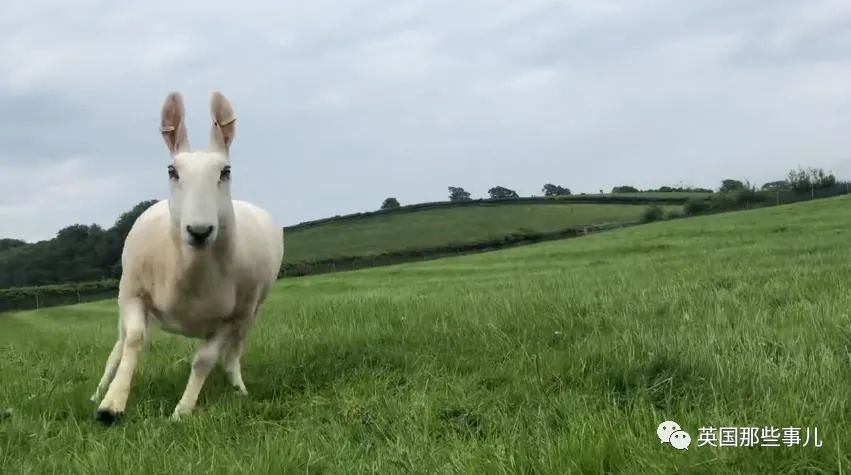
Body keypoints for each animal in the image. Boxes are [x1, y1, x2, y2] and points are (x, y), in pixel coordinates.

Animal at [91, 92, 286, 424]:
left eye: (225, 171)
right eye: (173, 171)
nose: (199, 231)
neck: (189, 272)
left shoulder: (232, 316)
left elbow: (203, 360)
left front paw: (182, 410)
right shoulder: (132, 294)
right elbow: (133, 340)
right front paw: (111, 404)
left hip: (252, 310)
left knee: (234, 351)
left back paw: (238, 387)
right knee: (117, 347)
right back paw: (98, 390)